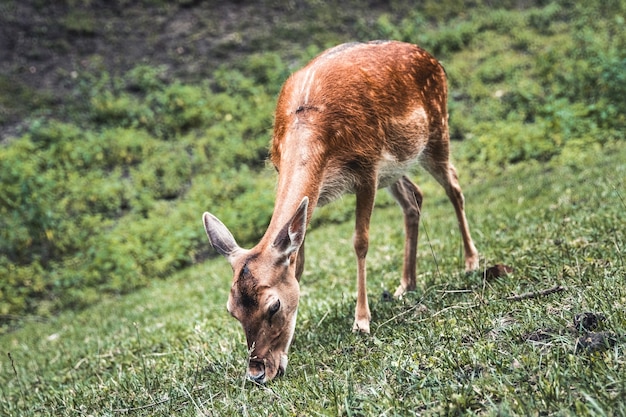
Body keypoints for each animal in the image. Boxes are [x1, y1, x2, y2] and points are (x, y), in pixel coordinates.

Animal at [202, 40, 476, 382]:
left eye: (273, 306)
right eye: (232, 310)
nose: (257, 372)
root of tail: (432, 58)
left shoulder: (368, 167)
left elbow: (360, 242)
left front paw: (361, 321)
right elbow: (299, 261)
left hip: (437, 128)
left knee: (454, 185)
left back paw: (471, 261)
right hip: (396, 167)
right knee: (414, 198)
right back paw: (406, 284)